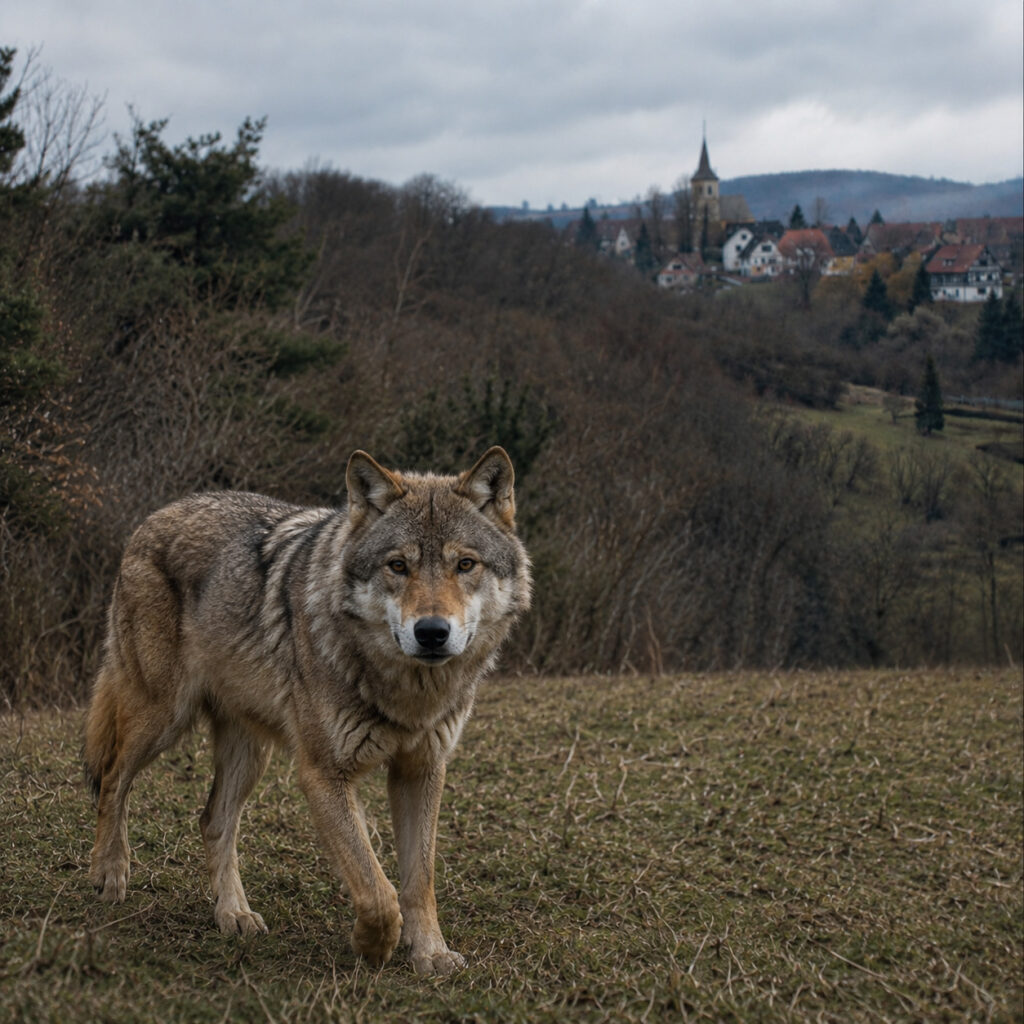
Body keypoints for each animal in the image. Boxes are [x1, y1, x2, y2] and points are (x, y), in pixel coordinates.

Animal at [84, 447, 531, 975]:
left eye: (465, 564)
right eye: (398, 566)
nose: (432, 632)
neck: (407, 692)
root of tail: (155, 516)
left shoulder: (422, 770)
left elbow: (418, 880)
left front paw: (431, 954)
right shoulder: (323, 774)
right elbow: (377, 890)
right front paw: (372, 946)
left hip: (248, 752)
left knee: (212, 819)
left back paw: (233, 914)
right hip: (161, 717)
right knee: (112, 778)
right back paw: (109, 873)